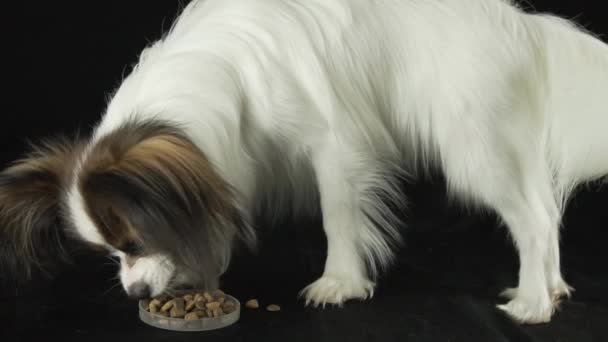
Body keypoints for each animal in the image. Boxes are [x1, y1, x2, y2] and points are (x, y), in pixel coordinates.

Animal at [1, 0, 608, 324]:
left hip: (474, 149)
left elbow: (338, 220)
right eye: (111, 254)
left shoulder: (336, 147)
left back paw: (533, 302)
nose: (134, 295)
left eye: (134, 242)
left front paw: (338, 284)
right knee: (546, 210)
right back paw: (554, 287)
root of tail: (523, 28)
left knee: (532, 219)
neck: (224, 74)